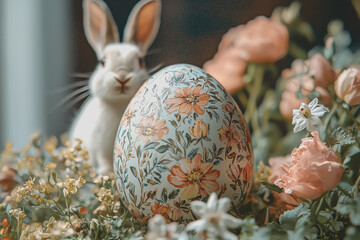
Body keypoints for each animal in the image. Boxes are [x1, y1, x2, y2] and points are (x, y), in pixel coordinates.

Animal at [70, 0, 162, 173]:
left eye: (141, 61)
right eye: (102, 61)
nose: (122, 78)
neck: (119, 105)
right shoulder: (100, 147)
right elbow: (104, 160)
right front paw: (106, 172)